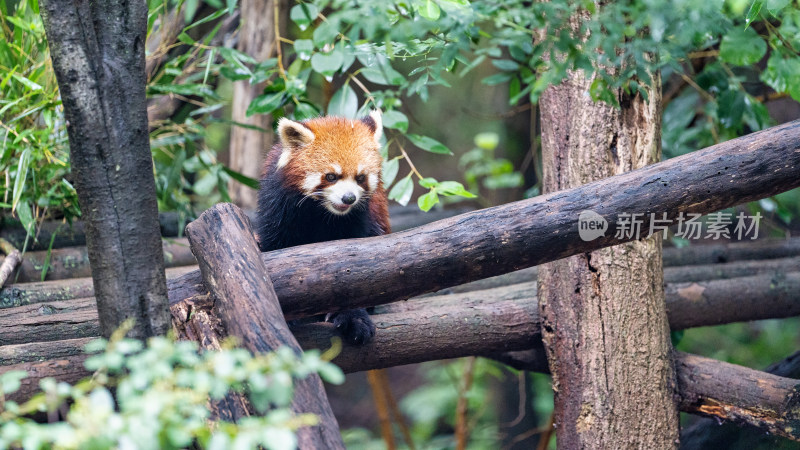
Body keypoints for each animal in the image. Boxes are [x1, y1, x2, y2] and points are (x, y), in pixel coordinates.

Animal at [256, 110, 390, 344]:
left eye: (360, 177)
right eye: (331, 176)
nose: (349, 198)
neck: (323, 213)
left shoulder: (358, 219)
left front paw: (353, 316)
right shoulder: (278, 208)